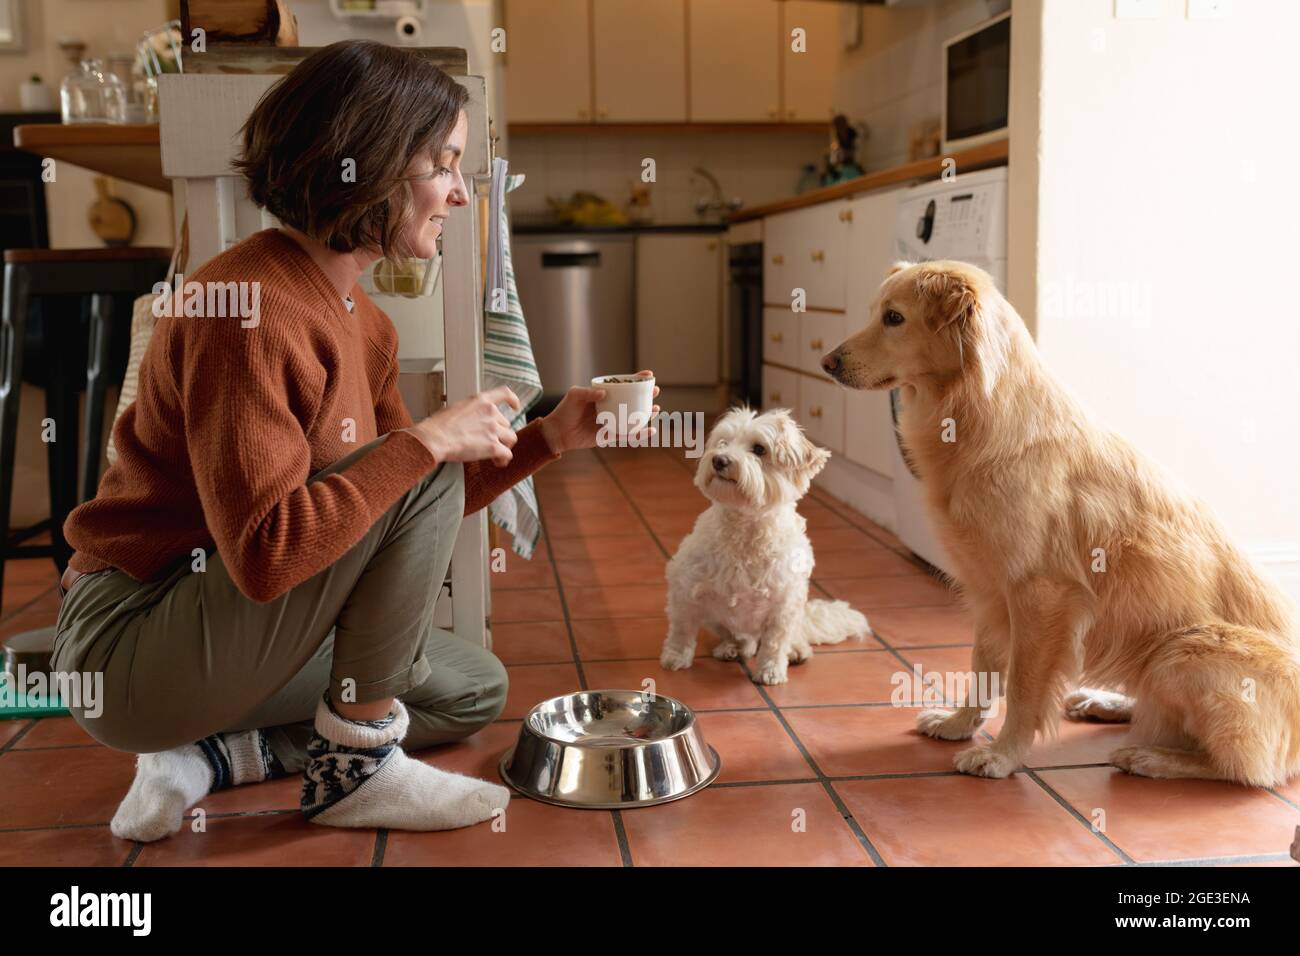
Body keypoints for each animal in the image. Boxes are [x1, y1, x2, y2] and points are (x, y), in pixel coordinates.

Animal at [665, 408, 868, 686]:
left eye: (759, 449)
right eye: (723, 442)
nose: (719, 460)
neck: (746, 527)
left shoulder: (785, 604)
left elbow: (774, 643)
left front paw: (771, 670)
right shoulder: (685, 587)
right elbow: (681, 629)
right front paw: (675, 657)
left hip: (796, 611)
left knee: (783, 638)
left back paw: (796, 651)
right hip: (719, 619)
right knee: (743, 640)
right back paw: (731, 648)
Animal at [821, 260, 1300, 785]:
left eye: (894, 318)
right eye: (875, 312)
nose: (825, 363)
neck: (976, 419)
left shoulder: (1040, 596)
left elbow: (1023, 688)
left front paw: (1002, 755)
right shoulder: (990, 593)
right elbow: (981, 669)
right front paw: (959, 724)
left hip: (1184, 651)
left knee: (1249, 770)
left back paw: (1150, 757)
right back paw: (1107, 703)